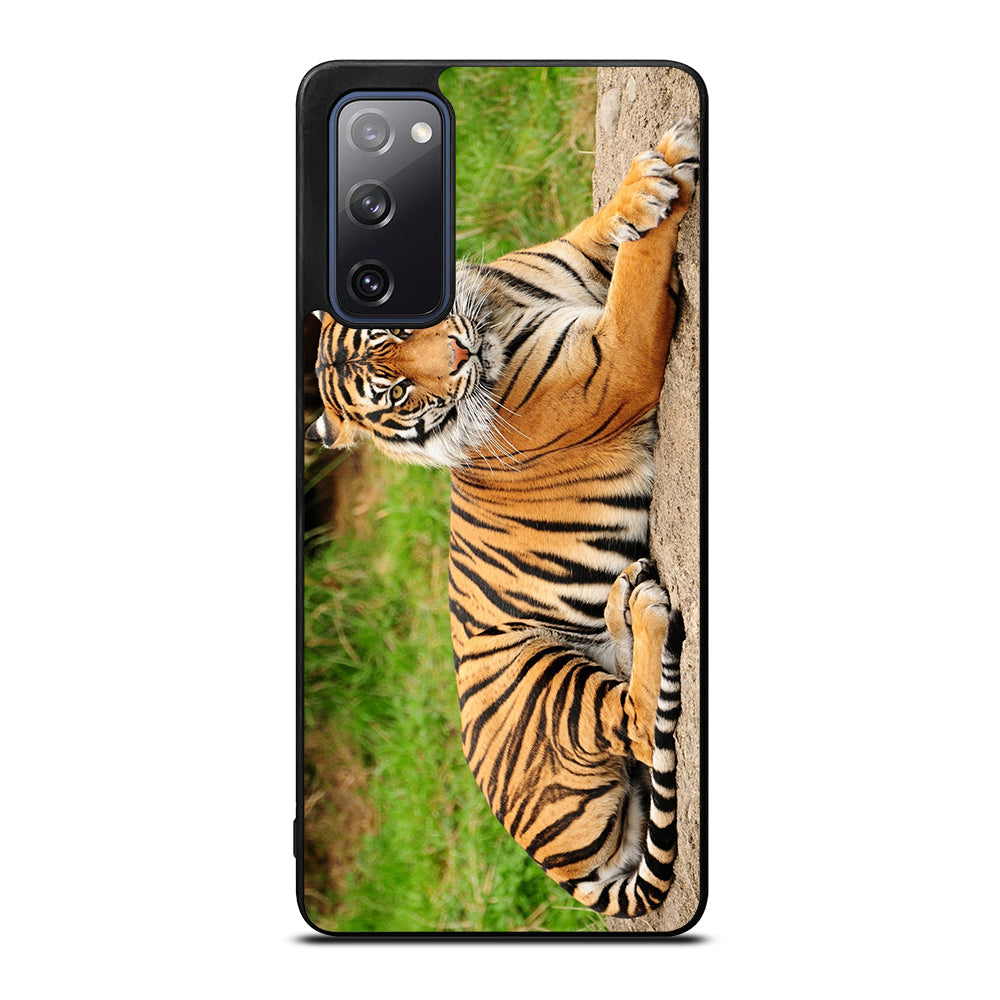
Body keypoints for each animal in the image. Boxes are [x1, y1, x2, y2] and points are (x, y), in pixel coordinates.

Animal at [306, 119, 698, 917]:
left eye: (395, 330)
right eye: (395, 392)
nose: (458, 354)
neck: (493, 312)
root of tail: (563, 871)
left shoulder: (572, 262)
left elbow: (607, 230)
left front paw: (648, 180)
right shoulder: (614, 362)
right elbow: (639, 273)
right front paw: (664, 181)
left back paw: (624, 601)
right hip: (541, 677)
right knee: (639, 722)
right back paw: (644, 610)